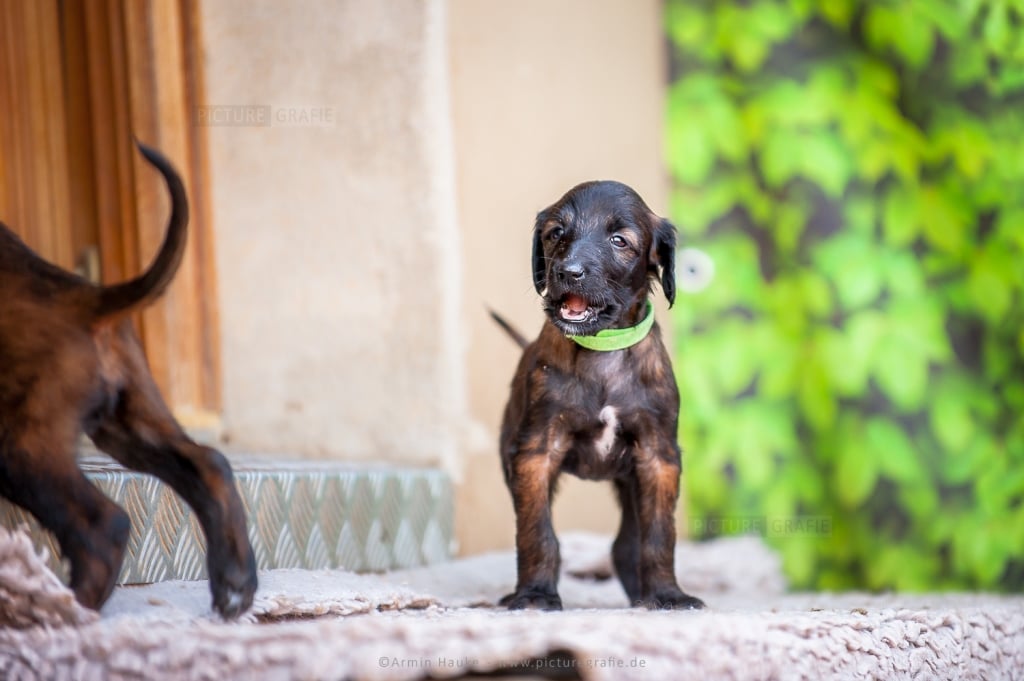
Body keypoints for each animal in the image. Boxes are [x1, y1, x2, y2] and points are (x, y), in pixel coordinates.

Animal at [0, 142, 257, 618]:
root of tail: (87, 298)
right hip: (130, 425)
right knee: (210, 465)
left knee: (104, 526)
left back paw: (65, 610)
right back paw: (235, 584)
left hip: (19, 444)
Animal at [493, 180, 704, 611]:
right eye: (556, 233)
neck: (602, 349)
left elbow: (660, 535)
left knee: (626, 545)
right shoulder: (535, 454)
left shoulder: (658, 458)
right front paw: (535, 595)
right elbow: (537, 532)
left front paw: (668, 595)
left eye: (619, 240)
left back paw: (642, 596)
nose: (567, 272)